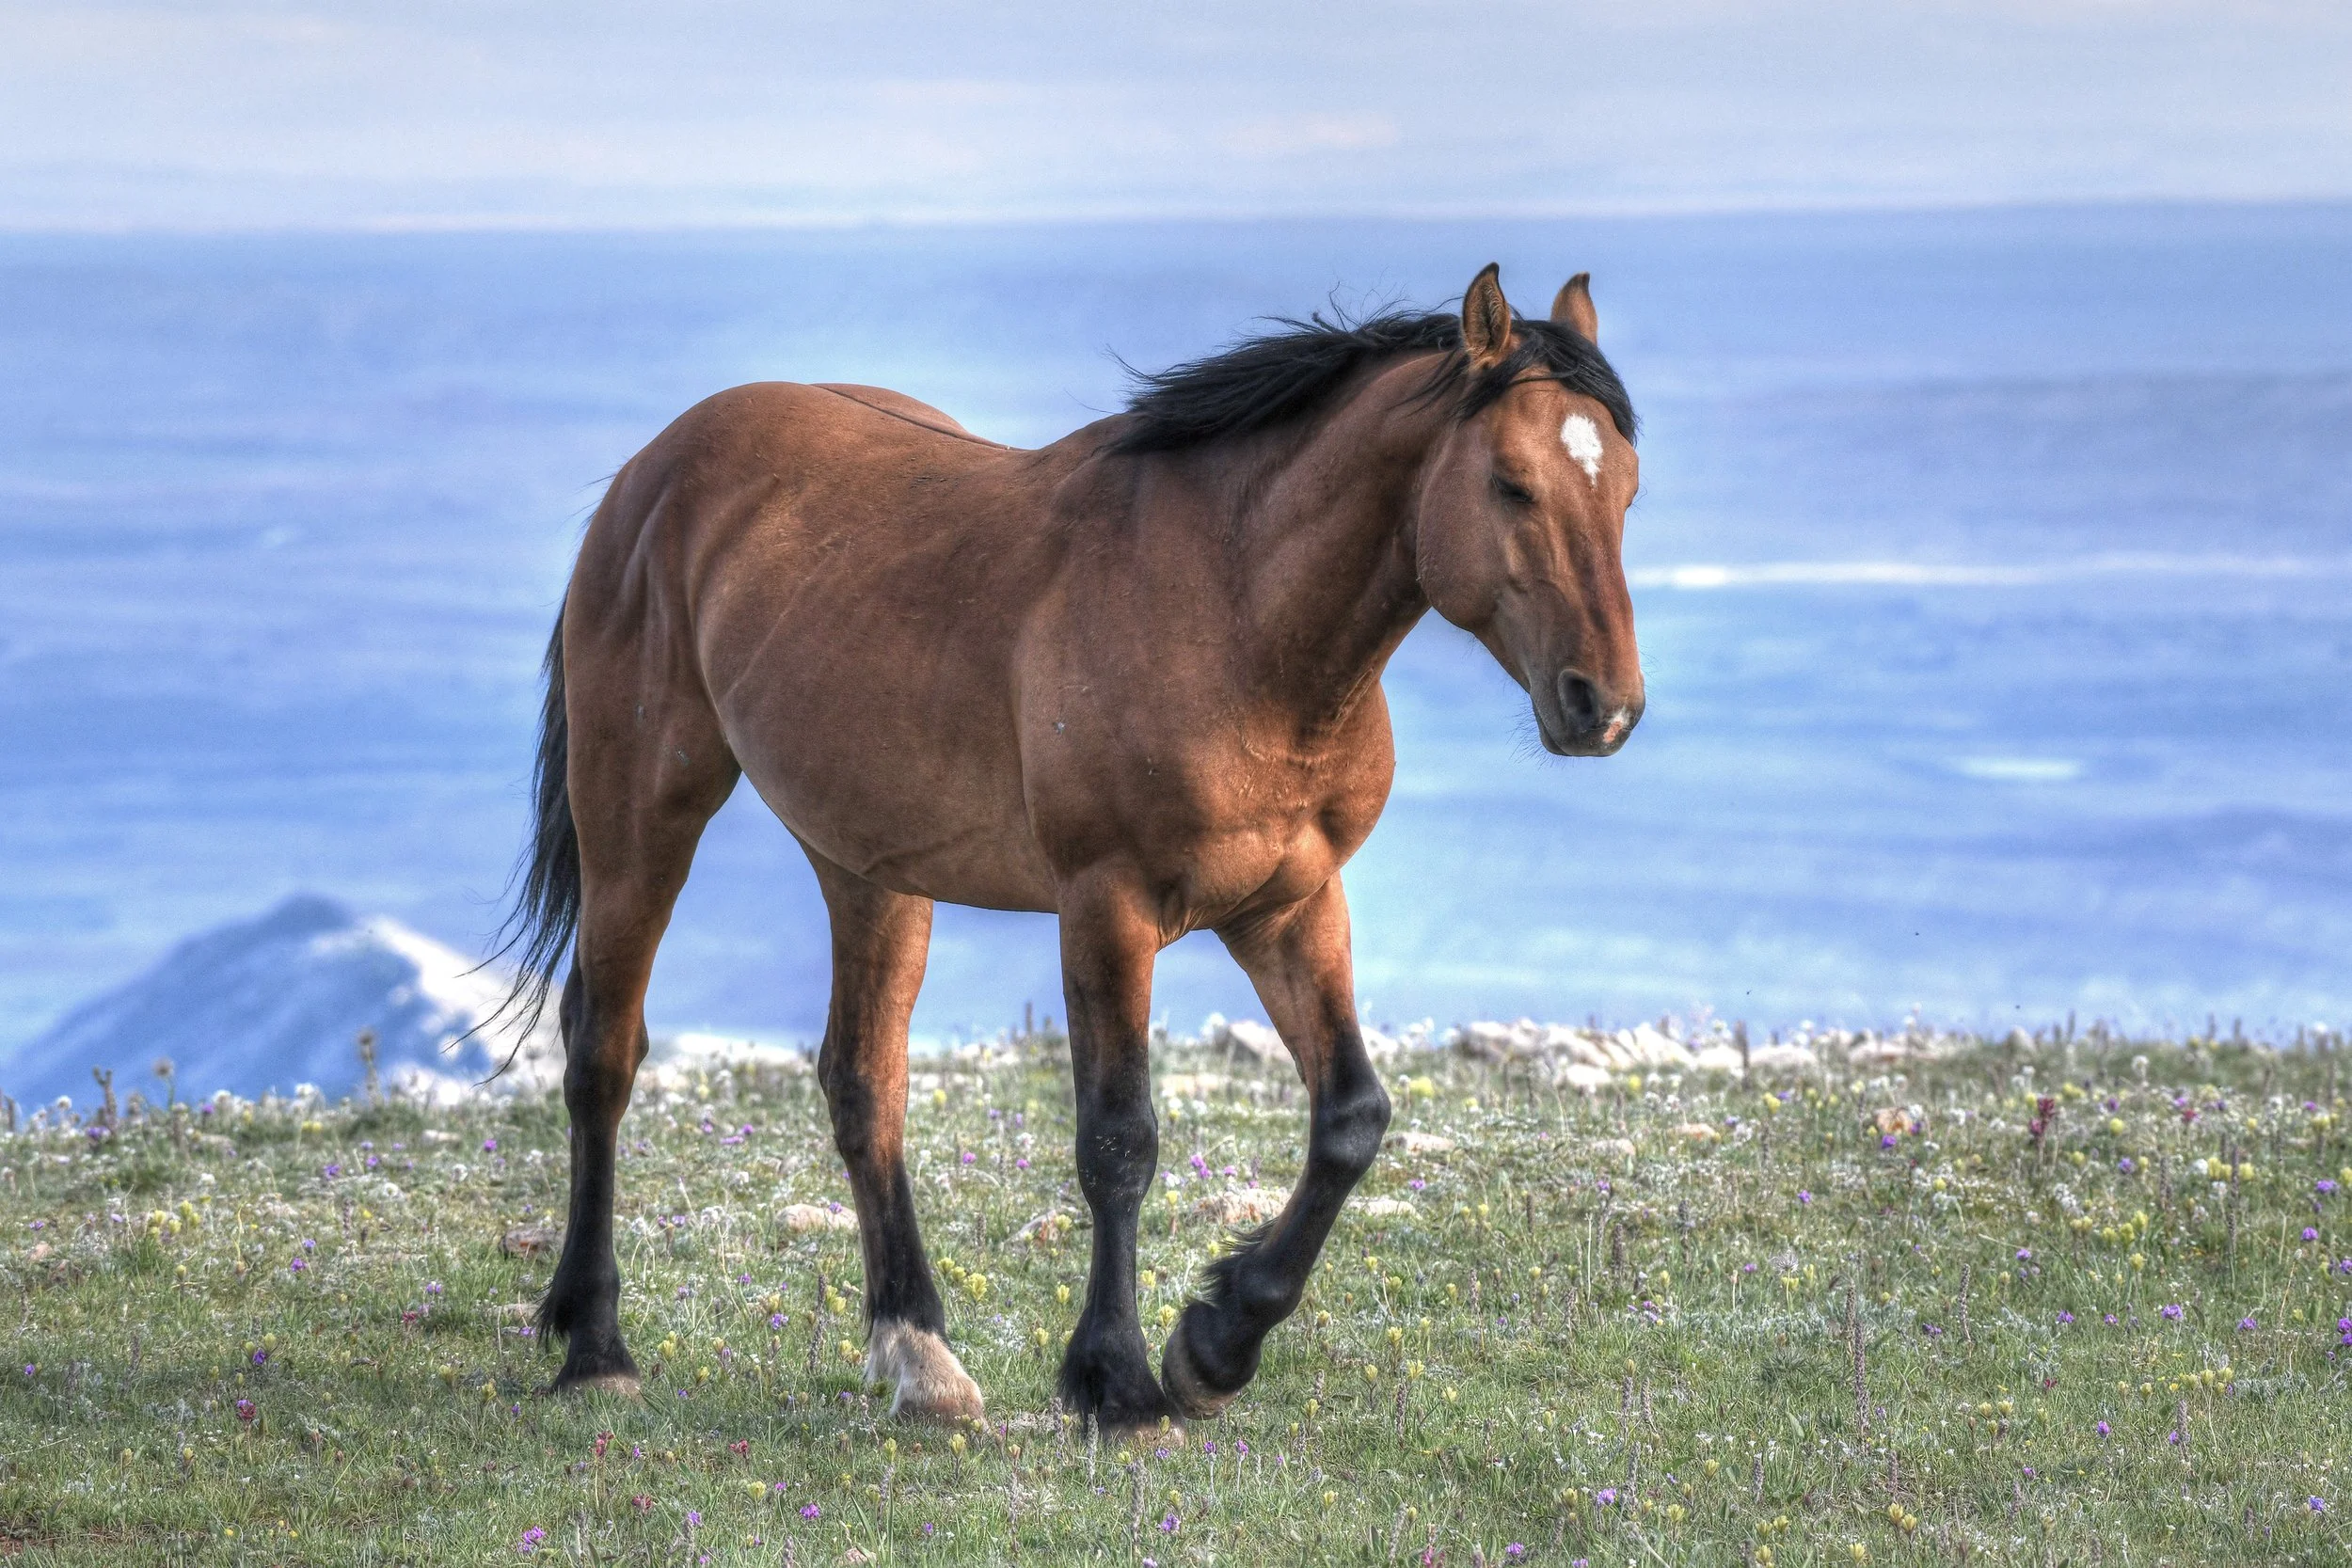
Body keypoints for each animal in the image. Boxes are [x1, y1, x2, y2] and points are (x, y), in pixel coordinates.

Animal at [496, 263, 1643, 1436]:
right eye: (1510, 484)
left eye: (1627, 492)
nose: (1601, 703)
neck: (1230, 609)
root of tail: (652, 470)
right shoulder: (1108, 906)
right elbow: (1119, 1139)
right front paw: (1120, 1376)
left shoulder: (1290, 902)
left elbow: (1351, 1117)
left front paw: (1218, 1339)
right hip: (642, 811)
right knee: (603, 1052)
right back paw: (595, 1342)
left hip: (869, 867)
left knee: (863, 1081)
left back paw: (919, 1354)